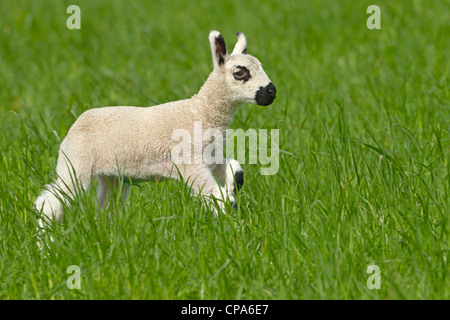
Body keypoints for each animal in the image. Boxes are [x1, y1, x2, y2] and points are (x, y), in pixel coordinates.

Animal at [34, 30, 274, 232]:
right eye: (240, 73)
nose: (272, 92)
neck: (200, 111)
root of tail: (76, 124)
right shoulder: (188, 161)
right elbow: (217, 198)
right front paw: (237, 229)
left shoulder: (209, 157)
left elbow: (235, 171)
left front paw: (233, 189)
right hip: (75, 164)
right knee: (49, 204)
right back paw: (44, 247)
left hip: (112, 175)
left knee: (105, 207)